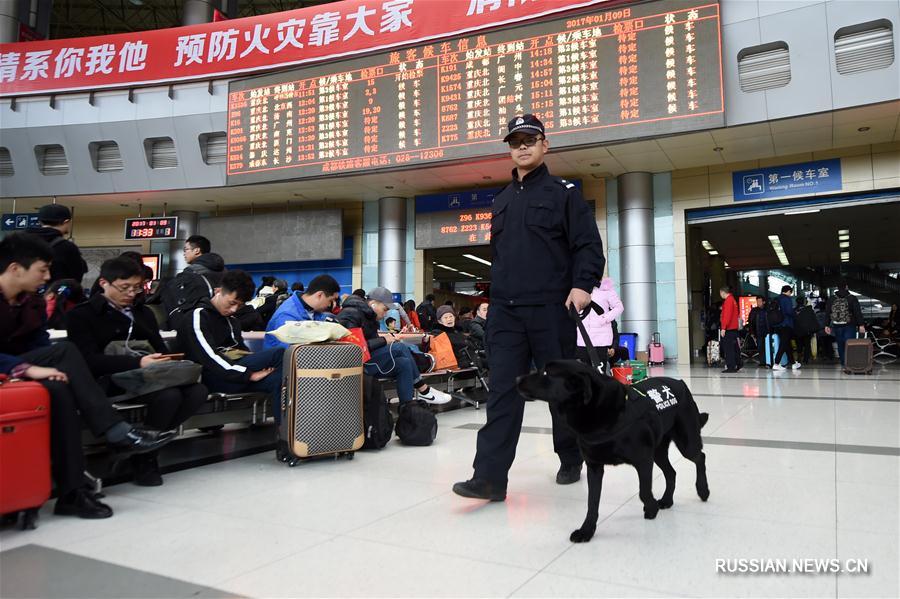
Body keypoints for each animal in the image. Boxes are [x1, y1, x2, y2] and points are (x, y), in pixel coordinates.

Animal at [520, 360, 712, 544]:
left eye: (546, 373)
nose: (517, 379)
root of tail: (680, 383)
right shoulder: (594, 467)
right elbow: (592, 502)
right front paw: (587, 530)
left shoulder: (643, 460)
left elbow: (643, 491)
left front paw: (651, 508)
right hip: (658, 451)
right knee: (671, 472)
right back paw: (667, 500)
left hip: (686, 442)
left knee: (700, 457)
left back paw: (702, 490)